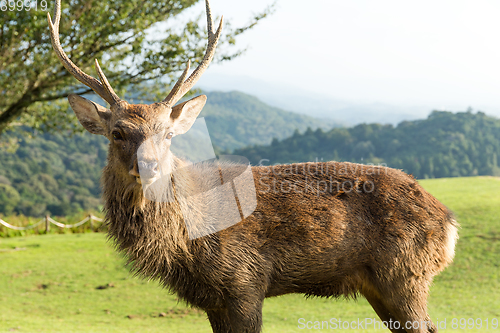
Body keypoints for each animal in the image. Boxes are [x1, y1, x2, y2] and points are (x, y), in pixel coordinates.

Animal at [48, 1, 458, 330]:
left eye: (167, 134)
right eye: (117, 132)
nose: (149, 166)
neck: (188, 245)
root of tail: (449, 221)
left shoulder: (245, 281)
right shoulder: (213, 299)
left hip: (405, 273)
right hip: (385, 283)